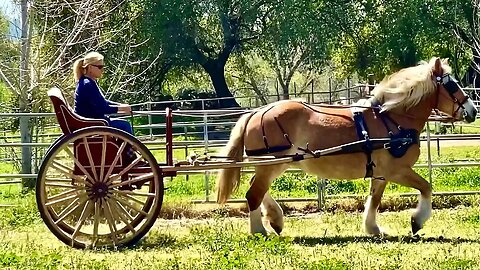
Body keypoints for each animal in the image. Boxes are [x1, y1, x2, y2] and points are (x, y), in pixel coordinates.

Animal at [217, 57, 476, 236]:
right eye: (452, 85)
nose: (472, 111)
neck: (391, 118)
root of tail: (256, 112)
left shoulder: (380, 174)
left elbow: (375, 199)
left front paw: (373, 228)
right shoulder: (397, 171)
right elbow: (426, 188)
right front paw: (417, 221)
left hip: (273, 164)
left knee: (258, 190)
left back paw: (275, 220)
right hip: (271, 163)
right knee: (254, 194)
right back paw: (260, 230)